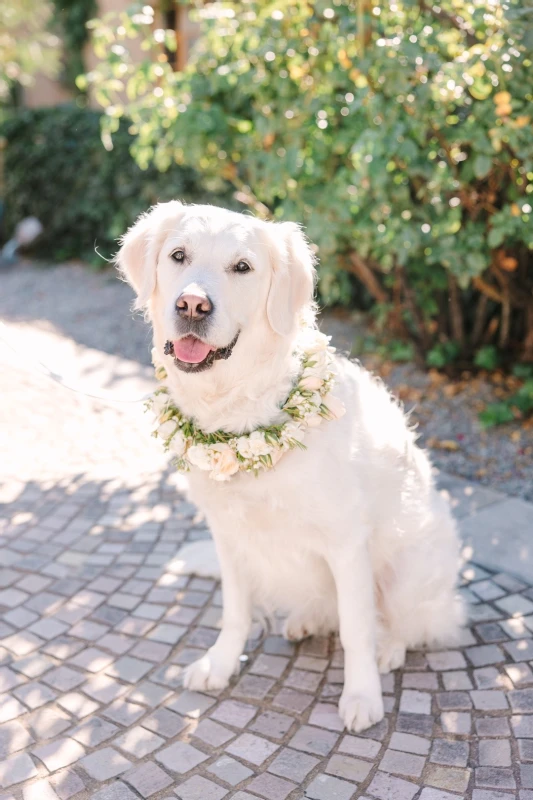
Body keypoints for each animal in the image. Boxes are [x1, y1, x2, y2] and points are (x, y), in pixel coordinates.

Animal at [117, 203, 462, 736]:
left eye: (242, 267)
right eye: (178, 256)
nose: (192, 305)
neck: (241, 414)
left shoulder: (346, 541)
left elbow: (358, 630)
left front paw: (361, 695)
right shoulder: (228, 534)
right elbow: (235, 613)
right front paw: (220, 665)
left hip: (411, 567)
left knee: (405, 623)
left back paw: (389, 648)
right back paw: (305, 621)